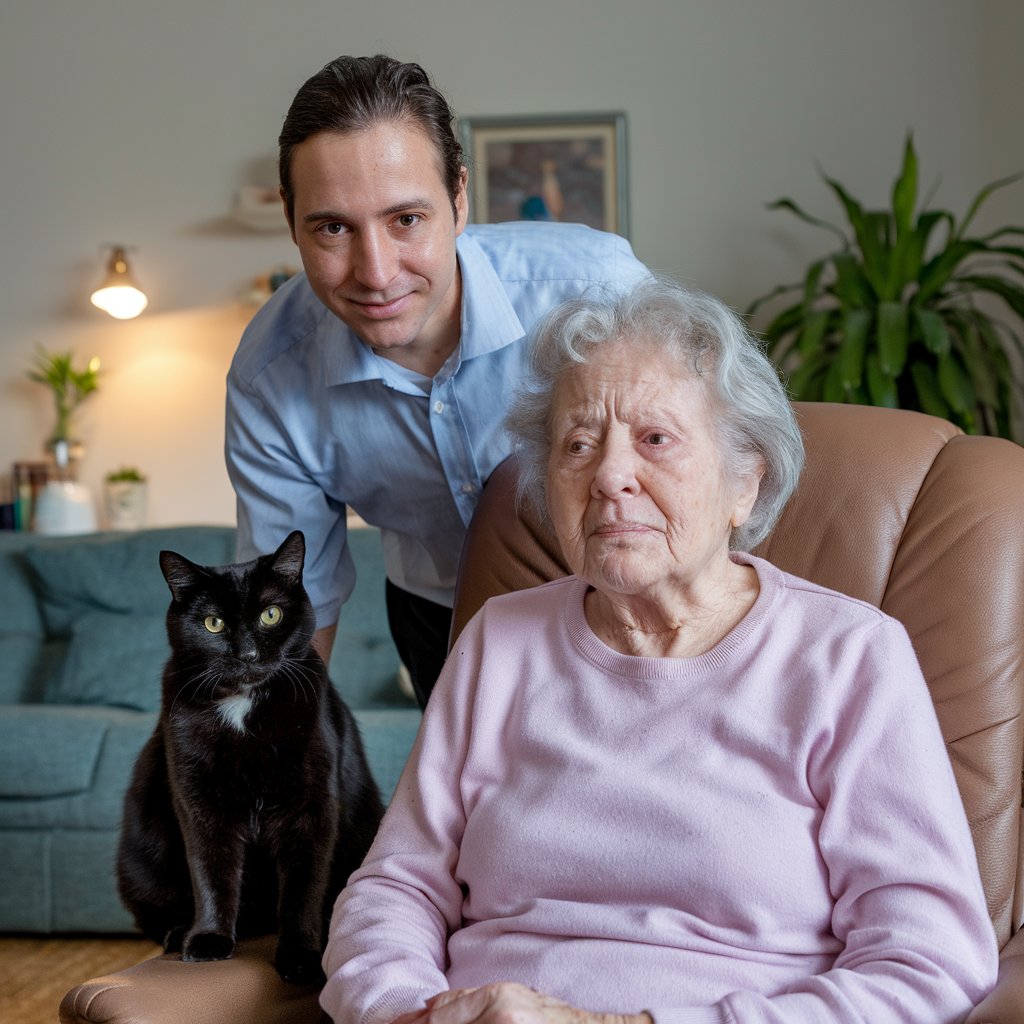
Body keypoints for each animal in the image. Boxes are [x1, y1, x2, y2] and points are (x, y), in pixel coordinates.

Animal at [113, 528, 385, 983]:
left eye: (270, 615)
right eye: (214, 623)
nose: (248, 655)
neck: (243, 706)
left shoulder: (310, 808)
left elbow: (303, 887)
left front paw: (301, 956)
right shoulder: (198, 800)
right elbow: (210, 871)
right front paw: (208, 939)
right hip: (140, 862)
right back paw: (180, 932)